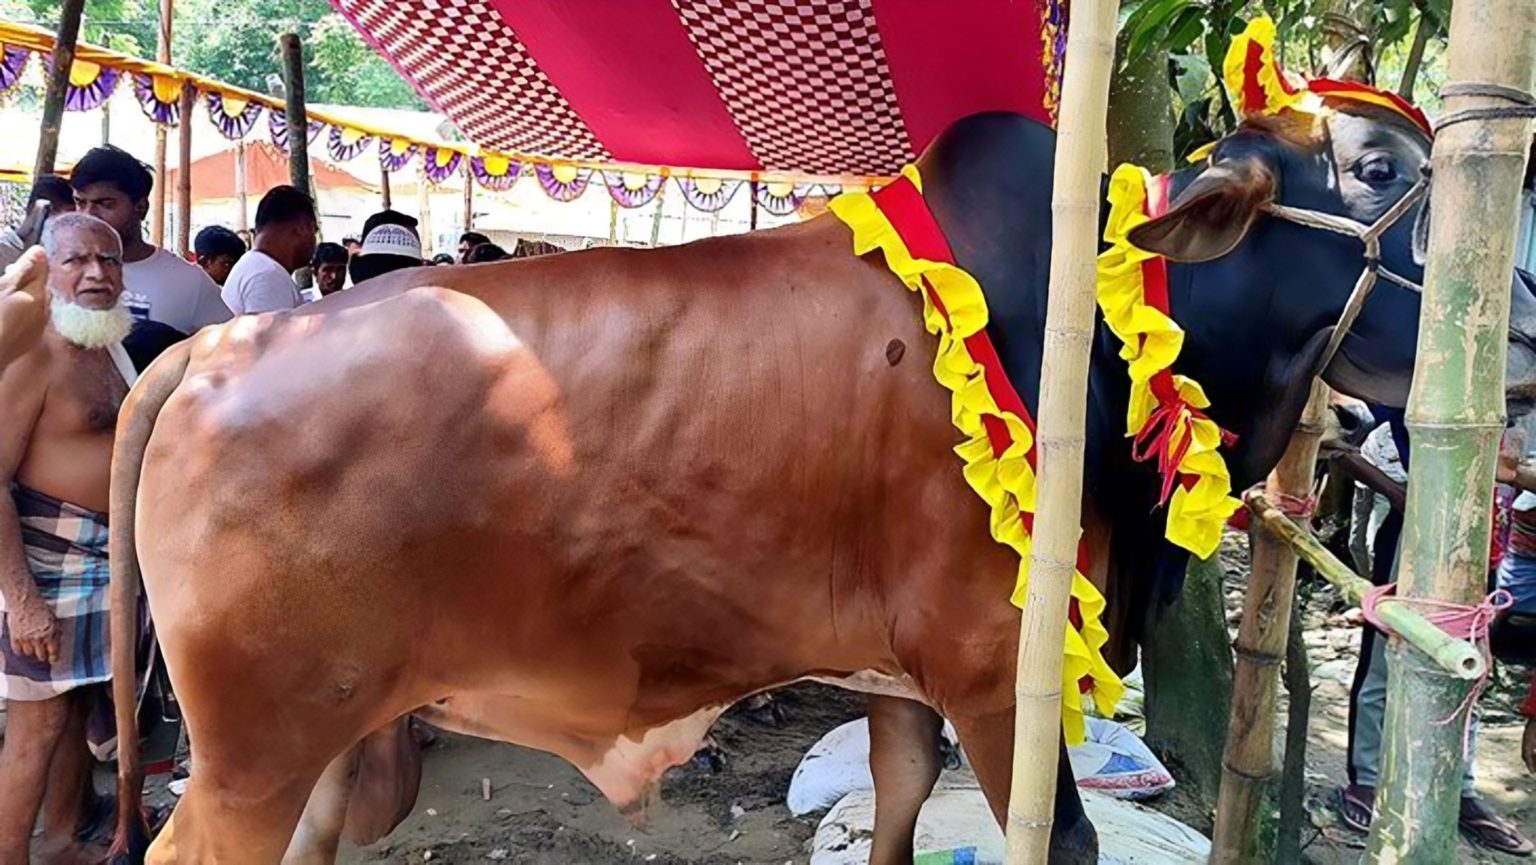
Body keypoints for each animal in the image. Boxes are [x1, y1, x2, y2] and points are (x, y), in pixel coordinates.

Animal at [106, 106, 1536, 865]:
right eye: (1376, 167)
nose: (1517, 324)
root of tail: (216, 347)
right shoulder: (992, 674)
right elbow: (1056, 839)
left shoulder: (901, 678)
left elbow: (899, 807)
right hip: (251, 754)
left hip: (325, 742)